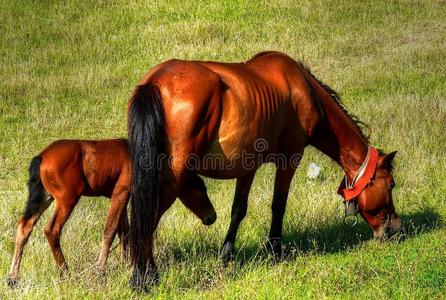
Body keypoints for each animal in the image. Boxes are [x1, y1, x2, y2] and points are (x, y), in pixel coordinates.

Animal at [6, 139, 216, 288]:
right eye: (200, 188)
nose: (212, 216)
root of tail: (40, 157)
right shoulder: (120, 193)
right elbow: (110, 230)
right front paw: (100, 269)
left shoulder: (123, 197)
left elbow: (124, 232)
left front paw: (126, 263)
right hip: (66, 199)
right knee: (52, 230)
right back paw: (66, 272)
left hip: (42, 198)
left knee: (24, 227)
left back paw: (13, 277)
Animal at [126, 51, 400, 288]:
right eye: (390, 185)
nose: (395, 229)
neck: (303, 90)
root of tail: (156, 80)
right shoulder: (289, 160)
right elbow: (278, 206)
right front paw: (275, 251)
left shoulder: (248, 167)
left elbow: (238, 210)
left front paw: (227, 256)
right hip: (173, 176)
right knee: (148, 217)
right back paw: (144, 276)